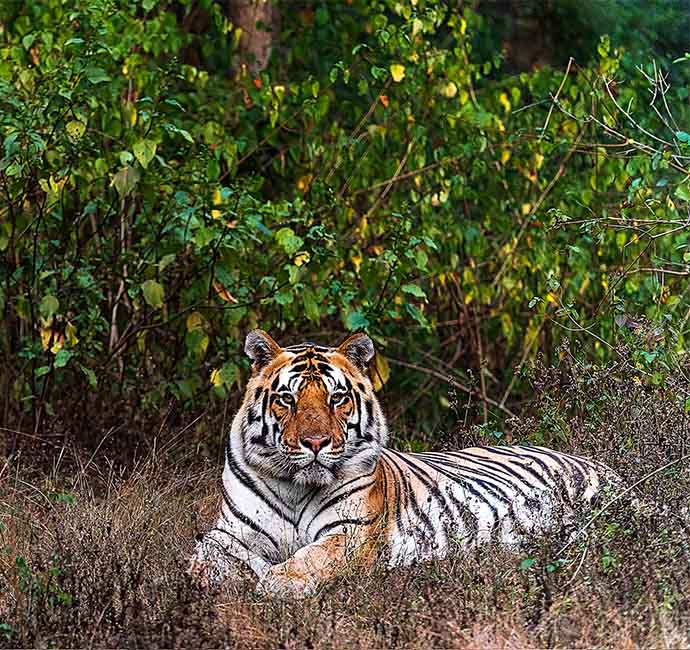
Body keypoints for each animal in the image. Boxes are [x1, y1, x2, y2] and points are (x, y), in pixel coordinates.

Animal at [191, 332, 616, 596]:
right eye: (287, 399)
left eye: (336, 398)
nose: (315, 443)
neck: (297, 486)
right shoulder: (228, 532)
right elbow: (202, 556)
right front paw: (207, 579)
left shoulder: (350, 532)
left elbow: (313, 556)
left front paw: (277, 582)